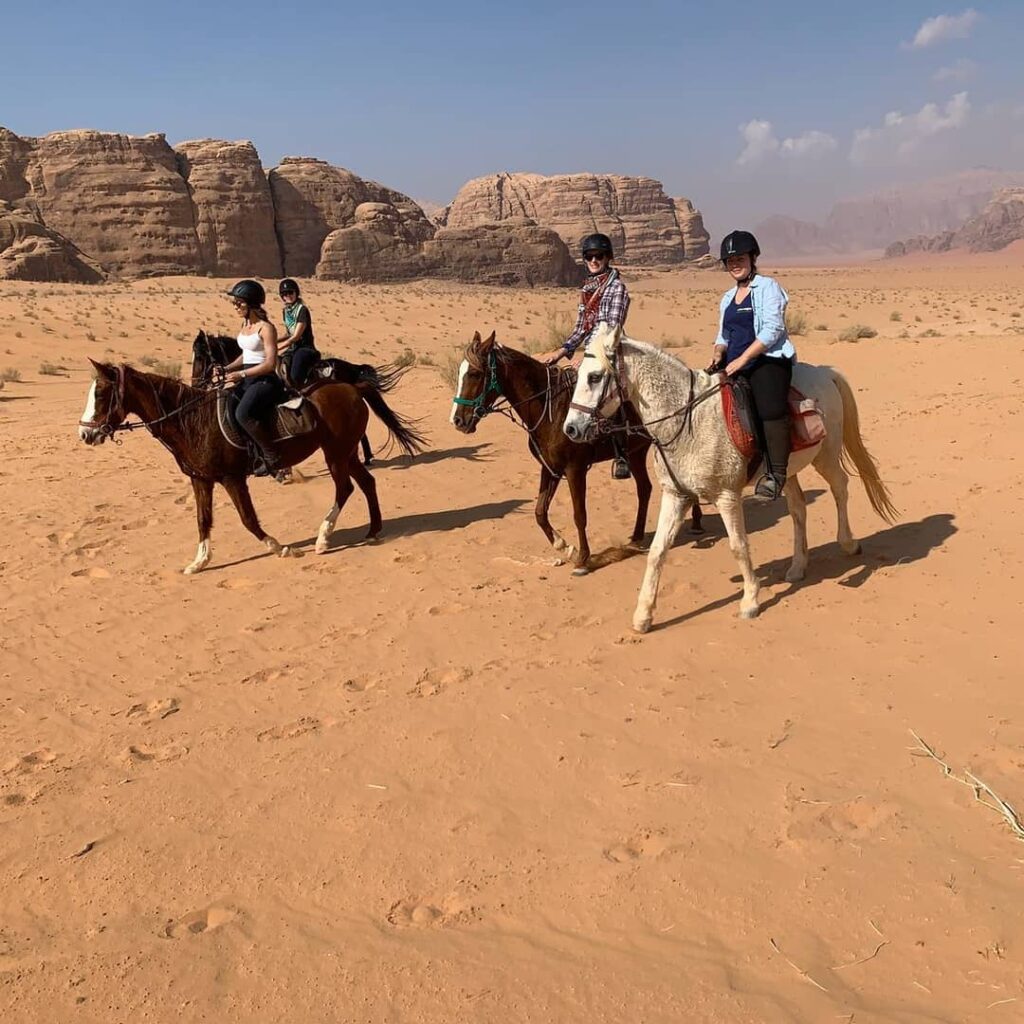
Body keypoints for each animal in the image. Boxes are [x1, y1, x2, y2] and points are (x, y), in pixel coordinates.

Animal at [77, 360, 423, 573]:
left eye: (102, 393)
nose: (85, 434)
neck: (192, 420)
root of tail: (352, 388)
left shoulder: (233, 479)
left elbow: (248, 520)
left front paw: (281, 547)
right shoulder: (201, 480)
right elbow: (203, 520)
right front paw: (199, 562)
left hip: (336, 453)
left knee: (346, 487)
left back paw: (324, 539)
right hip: (347, 452)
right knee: (366, 483)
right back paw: (373, 531)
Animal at [452, 329, 700, 577]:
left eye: (475, 373)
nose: (458, 420)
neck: (551, 410)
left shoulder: (575, 469)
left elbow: (579, 515)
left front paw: (582, 559)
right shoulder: (550, 468)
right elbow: (540, 512)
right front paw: (565, 547)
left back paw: (696, 524)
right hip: (637, 453)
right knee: (645, 489)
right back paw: (638, 537)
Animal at [561, 325, 897, 630]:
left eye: (594, 377)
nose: (571, 428)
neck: (688, 421)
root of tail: (825, 373)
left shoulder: (727, 496)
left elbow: (738, 545)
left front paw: (750, 600)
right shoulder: (676, 495)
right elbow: (657, 551)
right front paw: (643, 615)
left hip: (825, 455)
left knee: (840, 487)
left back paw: (849, 544)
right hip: (787, 470)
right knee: (798, 508)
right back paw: (797, 567)